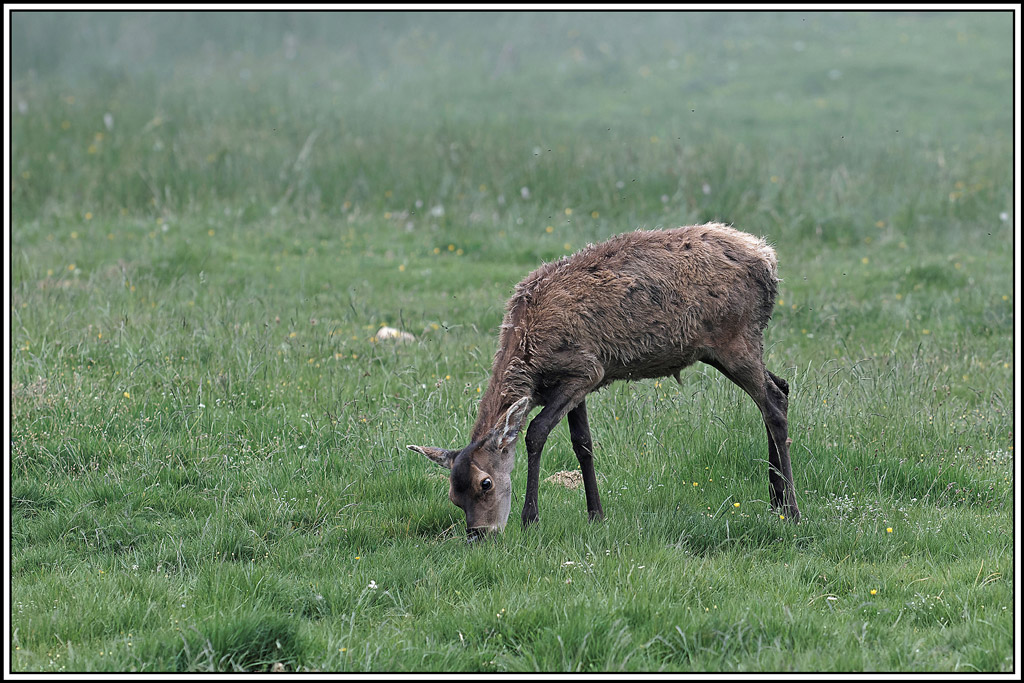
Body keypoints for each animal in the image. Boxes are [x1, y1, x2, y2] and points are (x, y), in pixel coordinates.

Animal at [407, 222, 800, 540]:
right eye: (453, 496)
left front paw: (530, 519)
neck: (532, 358)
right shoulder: (574, 384)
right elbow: (583, 443)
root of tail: (770, 260)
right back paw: (775, 499)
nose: (479, 534)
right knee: (780, 386)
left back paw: (793, 510)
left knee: (772, 402)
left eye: (485, 483)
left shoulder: (585, 370)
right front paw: (596, 514)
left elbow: (536, 432)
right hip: (724, 348)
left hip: (736, 338)